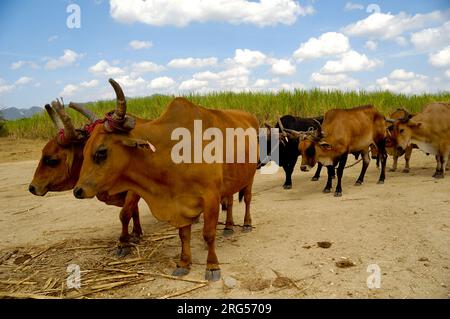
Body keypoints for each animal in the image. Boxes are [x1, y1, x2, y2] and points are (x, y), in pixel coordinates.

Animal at [29, 102, 144, 258]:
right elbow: (134, 211)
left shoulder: (134, 190)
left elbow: (125, 214)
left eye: (51, 160)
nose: (32, 187)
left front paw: (123, 243)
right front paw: (136, 233)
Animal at [73, 79, 256, 282]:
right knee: (230, 202)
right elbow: (183, 235)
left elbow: (208, 234)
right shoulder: (181, 203)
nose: (78, 190)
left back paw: (247, 224)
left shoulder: (211, 197)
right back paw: (229, 227)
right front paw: (183, 263)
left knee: (247, 199)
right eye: (83, 151)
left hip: (250, 176)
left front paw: (212, 266)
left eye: (101, 152)